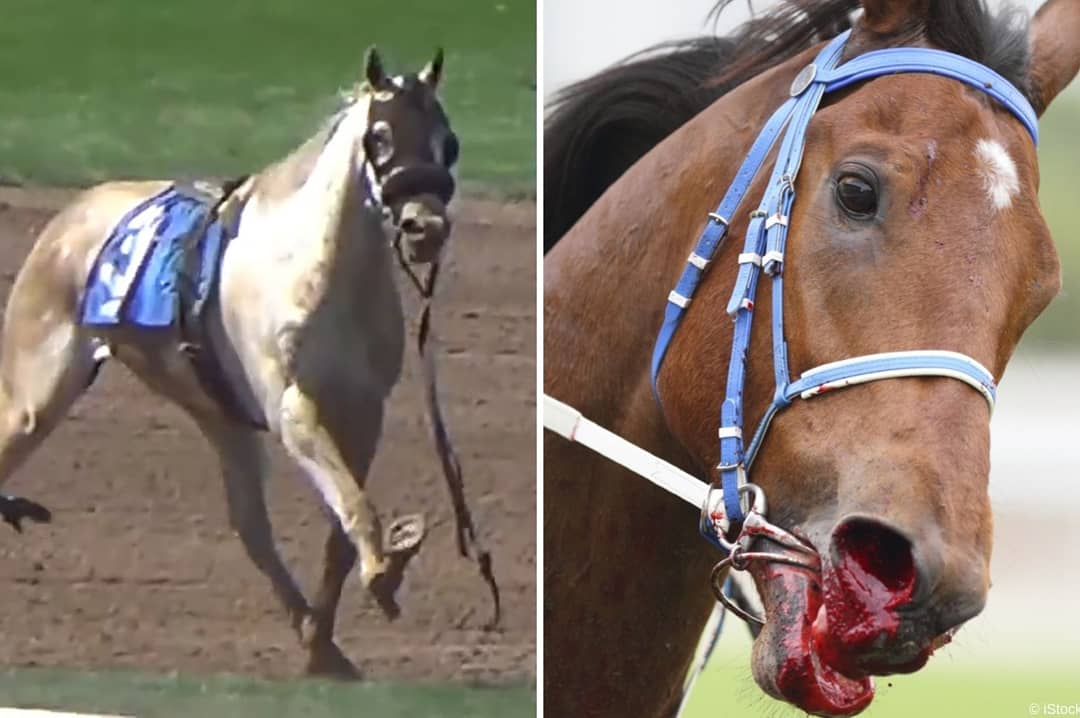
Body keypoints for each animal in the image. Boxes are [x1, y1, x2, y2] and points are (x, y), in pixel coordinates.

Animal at [0, 48, 486, 676]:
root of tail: (72, 213)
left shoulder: (363, 411)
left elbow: (340, 519)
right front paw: (382, 570)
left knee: (250, 528)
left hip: (218, 414)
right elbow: (351, 503)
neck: (318, 275)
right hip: (36, 394)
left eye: (448, 141)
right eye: (380, 136)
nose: (424, 228)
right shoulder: (291, 407)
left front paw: (327, 637)